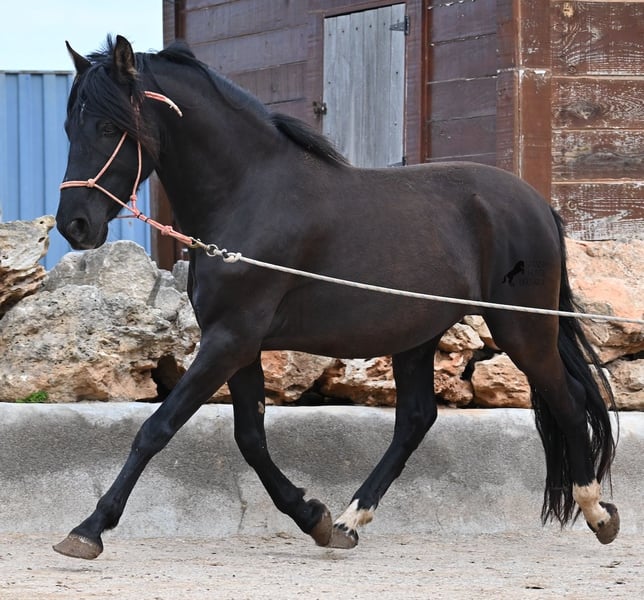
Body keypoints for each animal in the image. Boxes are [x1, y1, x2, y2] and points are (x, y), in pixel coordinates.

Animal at [54, 35, 619, 560]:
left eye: (108, 127)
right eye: (69, 128)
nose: (73, 225)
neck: (249, 196)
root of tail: (537, 205)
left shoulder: (230, 340)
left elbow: (157, 428)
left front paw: (88, 529)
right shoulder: (238, 345)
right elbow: (250, 439)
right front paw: (315, 518)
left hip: (523, 330)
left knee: (568, 403)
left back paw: (597, 512)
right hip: (417, 335)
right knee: (416, 420)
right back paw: (349, 520)